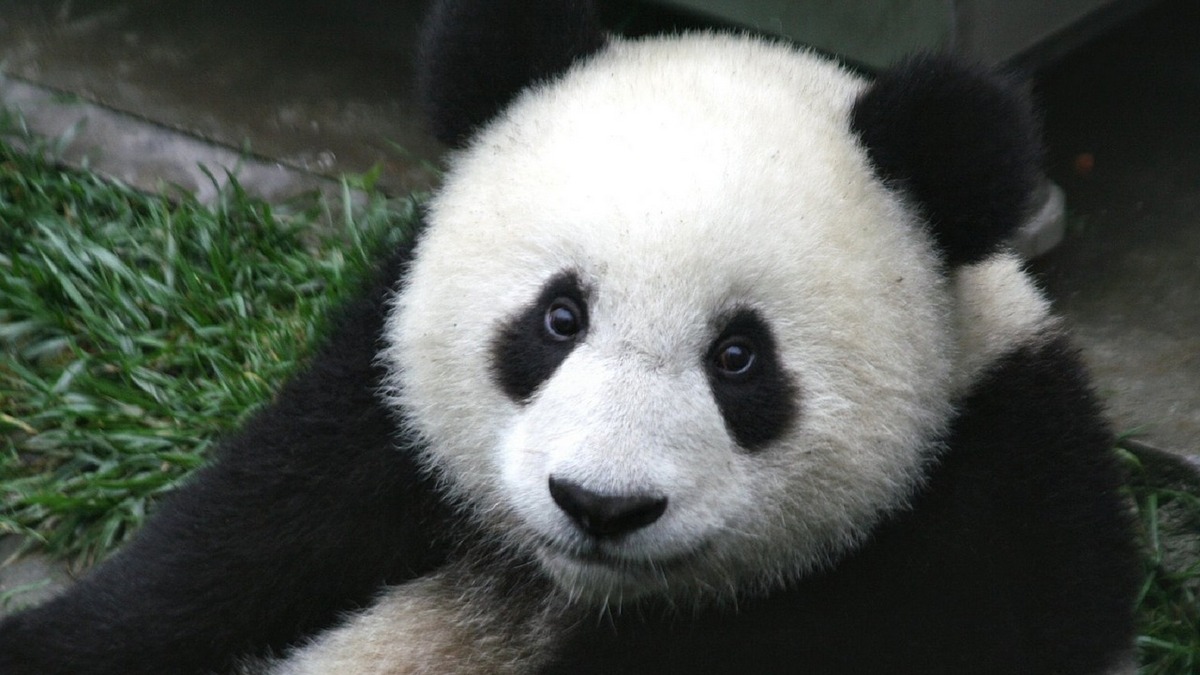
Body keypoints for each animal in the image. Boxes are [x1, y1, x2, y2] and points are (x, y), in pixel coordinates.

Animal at [0, 0, 1140, 673]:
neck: (573, 590)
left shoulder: (978, 532)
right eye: (558, 319)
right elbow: (224, 550)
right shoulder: (376, 415)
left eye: (739, 359)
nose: (602, 504)